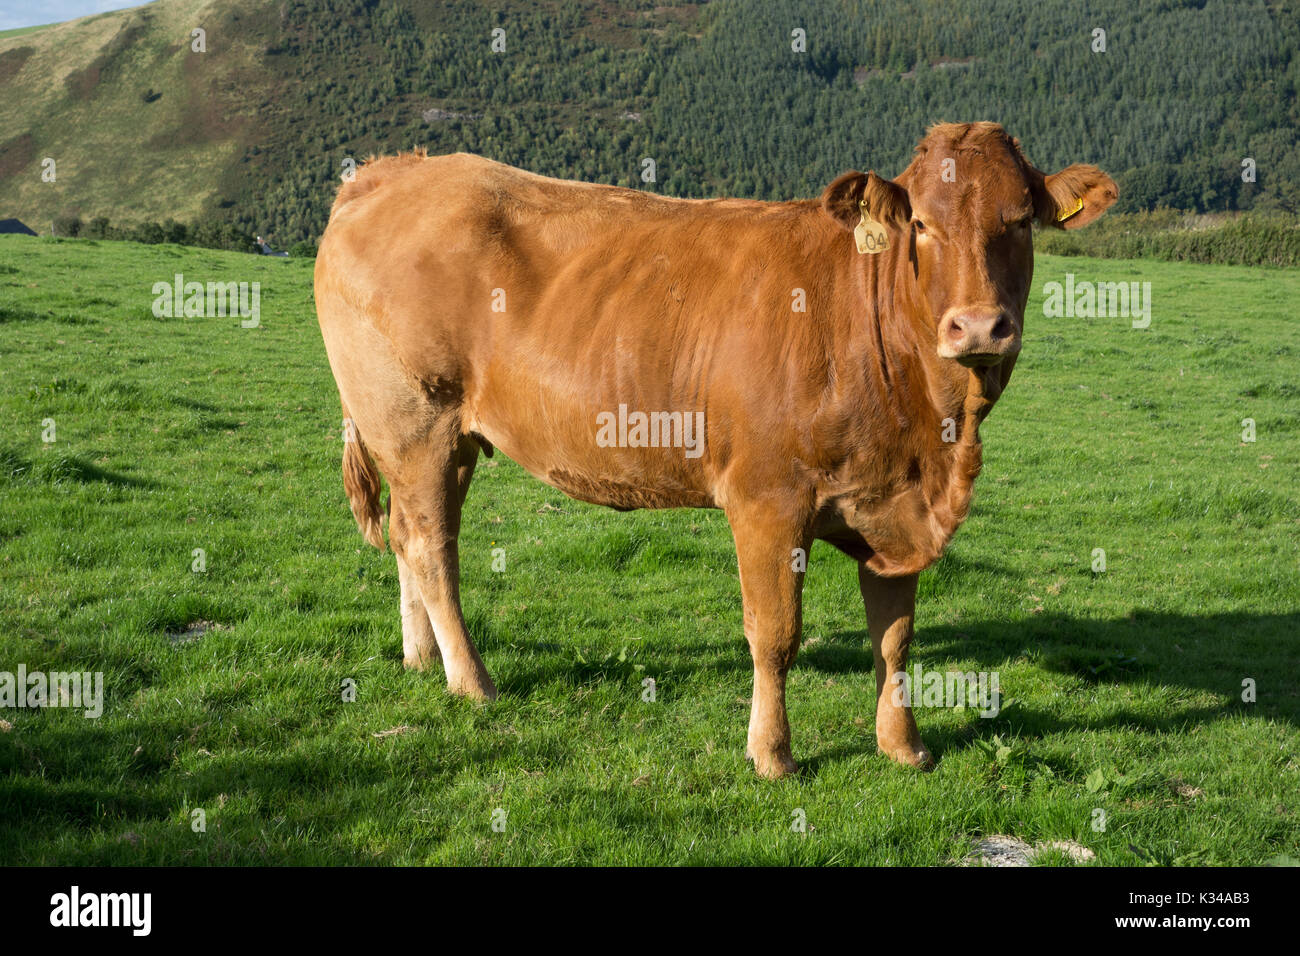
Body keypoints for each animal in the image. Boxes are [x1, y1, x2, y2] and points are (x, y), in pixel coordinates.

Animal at [314, 122, 1117, 778]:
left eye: (1020, 221)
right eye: (920, 223)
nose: (978, 327)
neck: (932, 436)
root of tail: (391, 172)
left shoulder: (894, 507)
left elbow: (895, 638)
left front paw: (904, 746)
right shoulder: (768, 501)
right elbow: (775, 634)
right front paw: (773, 754)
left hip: (439, 440)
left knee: (407, 535)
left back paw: (422, 659)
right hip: (415, 421)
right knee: (430, 545)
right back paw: (471, 681)